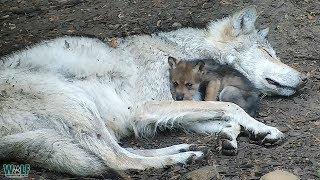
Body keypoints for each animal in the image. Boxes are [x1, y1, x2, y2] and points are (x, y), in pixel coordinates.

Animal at [0, 6, 306, 176]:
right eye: (268, 52)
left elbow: (226, 118)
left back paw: (183, 150)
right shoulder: (149, 107)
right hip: (75, 102)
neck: (184, 52)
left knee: (123, 152)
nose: (304, 78)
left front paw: (237, 135)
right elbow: (232, 107)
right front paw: (264, 128)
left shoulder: (172, 110)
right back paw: (179, 158)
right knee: (118, 161)